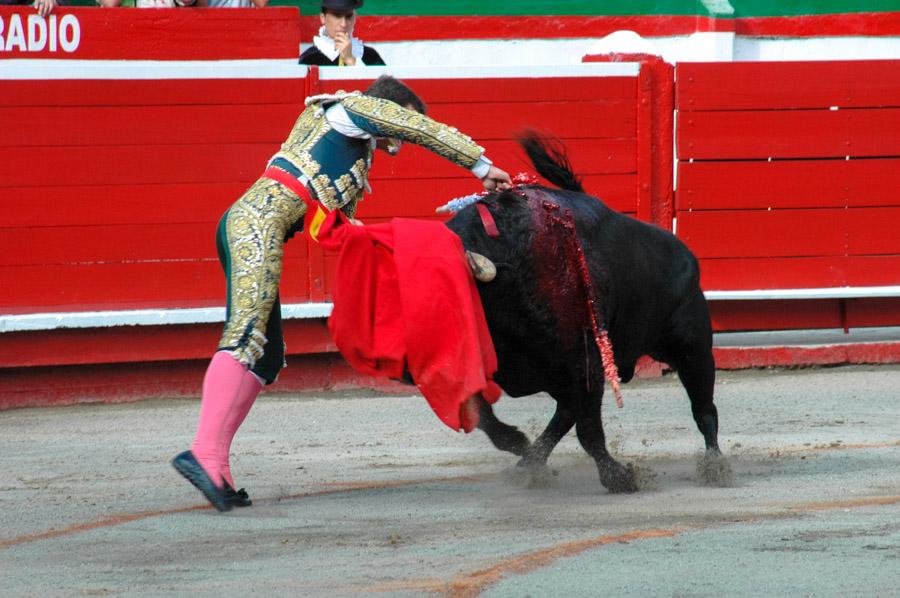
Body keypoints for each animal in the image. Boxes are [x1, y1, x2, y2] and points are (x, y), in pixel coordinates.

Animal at [444, 136, 732, 496]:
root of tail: (686, 255)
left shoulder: (585, 365)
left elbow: (589, 431)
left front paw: (620, 477)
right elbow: (481, 414)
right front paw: (520, 446)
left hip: (693, 349)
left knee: (704, 408)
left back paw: (715, 467)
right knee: (564, 415)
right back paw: (529, 465)